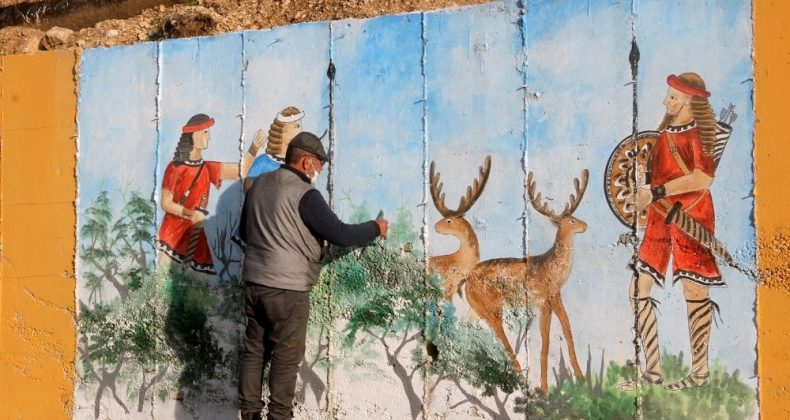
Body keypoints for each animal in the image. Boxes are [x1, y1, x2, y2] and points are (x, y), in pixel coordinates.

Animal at [464, 169, 588, 392]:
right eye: (571, 221)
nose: (585, 225)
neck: (551, 269)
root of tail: (466, 280)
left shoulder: (556, 297)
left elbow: (568, 331)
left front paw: (582, 379)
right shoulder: (543, 301)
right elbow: (546, 343)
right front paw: (545, 388)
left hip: (475, 308)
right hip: (493, 307)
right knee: (500, 335)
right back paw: (519, 374)